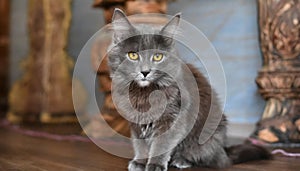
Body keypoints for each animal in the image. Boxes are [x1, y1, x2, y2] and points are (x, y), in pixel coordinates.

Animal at [106, 9, 270, 171]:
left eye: (158, 57)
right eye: (133, 55)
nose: (145, 72)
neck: (143, 94)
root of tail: (224, 150)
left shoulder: (173, 118)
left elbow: (161, 144)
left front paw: (155, 164)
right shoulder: (136, 123)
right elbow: (140, 145)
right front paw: (140, 162)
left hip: (207, 136)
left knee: (203, 155)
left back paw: (181, 160)